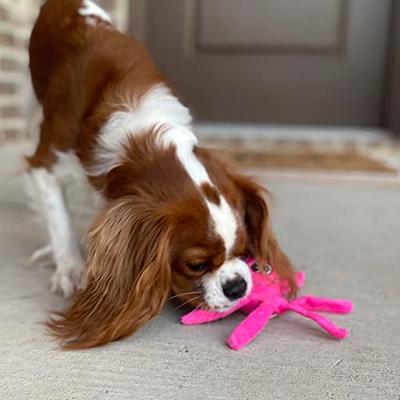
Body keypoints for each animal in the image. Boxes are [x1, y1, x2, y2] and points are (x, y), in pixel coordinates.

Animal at [25, 0, 294, 348]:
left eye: (242, 249)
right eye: (196, 265)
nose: (237, 287)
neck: (141, 135)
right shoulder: (46, 163)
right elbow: (59, 219)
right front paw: (69, 268)